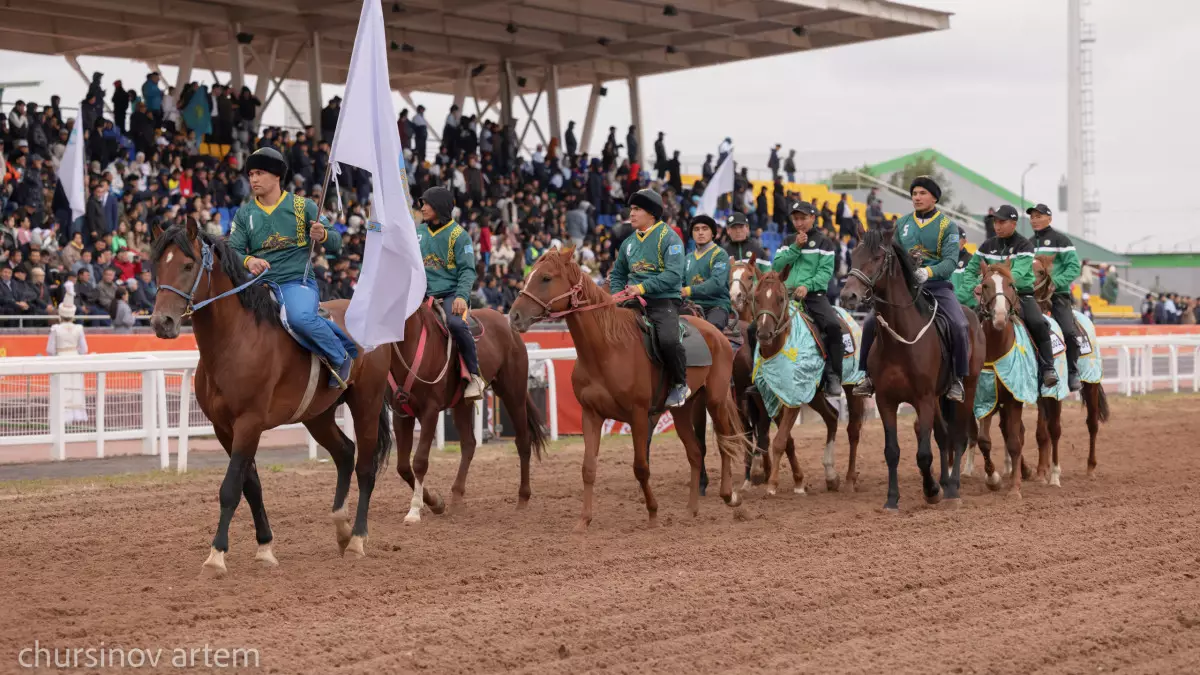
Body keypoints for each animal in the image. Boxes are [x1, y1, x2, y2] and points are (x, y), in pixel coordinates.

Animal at [148, 219, 393, 571]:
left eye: (187, 265)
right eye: (157, 266)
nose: (161, 322)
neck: (235, 341)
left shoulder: (249, 422)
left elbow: (230, 487)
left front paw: (217, 553)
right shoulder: (224, 428)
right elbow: (251, 485)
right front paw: (265, 546)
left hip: (367, 405)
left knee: (365, 467)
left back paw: (358, 537)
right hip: (317, 415)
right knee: (345, 452)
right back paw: (341, 526)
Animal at [388, 299, 549, 521]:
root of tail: (506, 322)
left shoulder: (430, 411)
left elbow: (419, 461)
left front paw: (414, 511)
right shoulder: (401, 412)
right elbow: (403, 467)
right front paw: (435, 502)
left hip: (512, 393)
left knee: (523, 442)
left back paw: (523, 498)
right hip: (462, 405)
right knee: (469, 444)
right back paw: (456, 497)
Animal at [506, 243, 739, 528]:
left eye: (546, 278)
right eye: (528, 275)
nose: (514, 316)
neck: (607, 350)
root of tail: (717, 334)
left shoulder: (638, 415)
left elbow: (641, 467)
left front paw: (653, 513)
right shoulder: (591, 414)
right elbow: (588, 468)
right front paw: (584, 520)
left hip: (715, 400)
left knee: (725, 443)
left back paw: (728, 495)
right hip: (682, 409)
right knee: (695, 453)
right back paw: (691, 509)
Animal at [835, 227, 984, 509]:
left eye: (877, 258)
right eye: (855, 255)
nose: (849, 295)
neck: (900, 339)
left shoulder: (922, 398)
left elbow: (924, 454)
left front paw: (932, 490)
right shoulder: (886, 400)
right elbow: (892, 451)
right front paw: (892, 499)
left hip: (966, 389)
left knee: (958, 436)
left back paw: (953, 488)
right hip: (937, 397)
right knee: (943, 436)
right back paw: (945, 482)